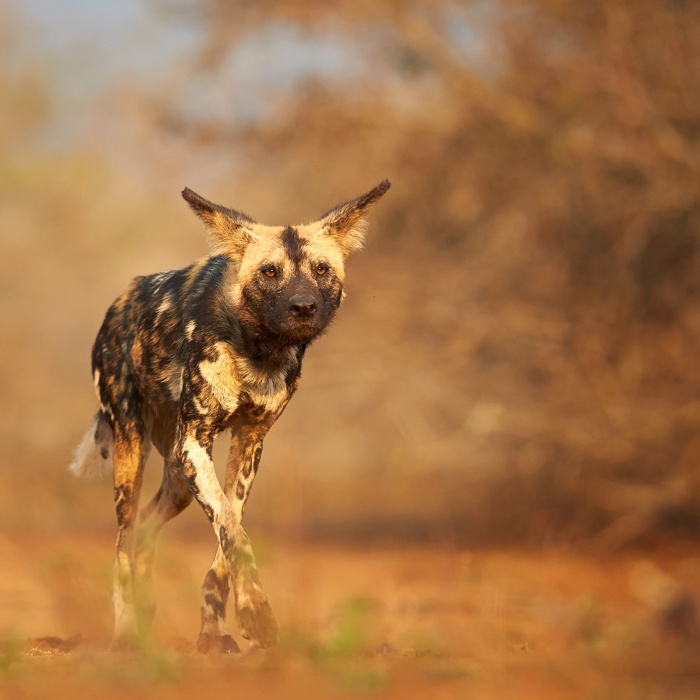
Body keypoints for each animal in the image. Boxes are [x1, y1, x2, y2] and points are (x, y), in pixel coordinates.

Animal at [73, 179, 392, 652]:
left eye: (321, 270)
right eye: (270, 273)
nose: (303, 307)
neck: (258, 349)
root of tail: (119, 302)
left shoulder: (247, 444)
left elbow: (230, 532)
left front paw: (216, 631)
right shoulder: (195, 444)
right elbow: (232, 531)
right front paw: (258, 615)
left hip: (177, 478)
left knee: (146, 529)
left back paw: (148, 617)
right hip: (134, 455)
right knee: (122, 544)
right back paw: (126, 633)